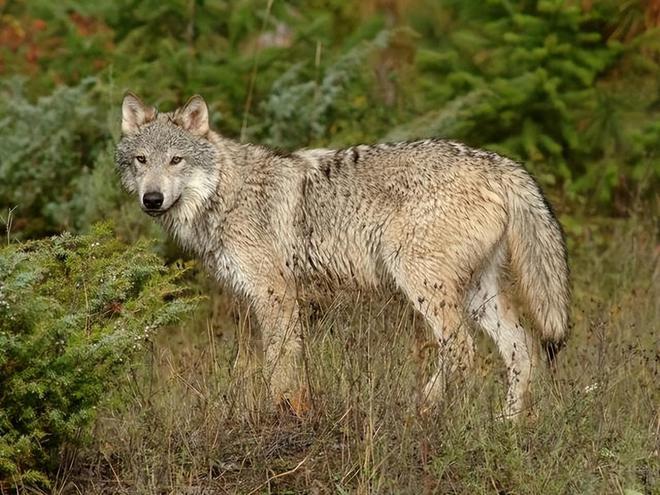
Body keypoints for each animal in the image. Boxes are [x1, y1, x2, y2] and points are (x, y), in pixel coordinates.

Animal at [116, 93, 568, 418]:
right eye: (142, 160)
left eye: (176, 160)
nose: (152, 199)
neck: (225, 193)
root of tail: (500, 163)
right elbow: (294, 369)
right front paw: (298, 411)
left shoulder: (276, 296)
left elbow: (278, 367)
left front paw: (280, 416)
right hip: (477, 296)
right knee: (523, 351)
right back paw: (506, 429)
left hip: (423, 285)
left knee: (462, 351)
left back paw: (424, 409)